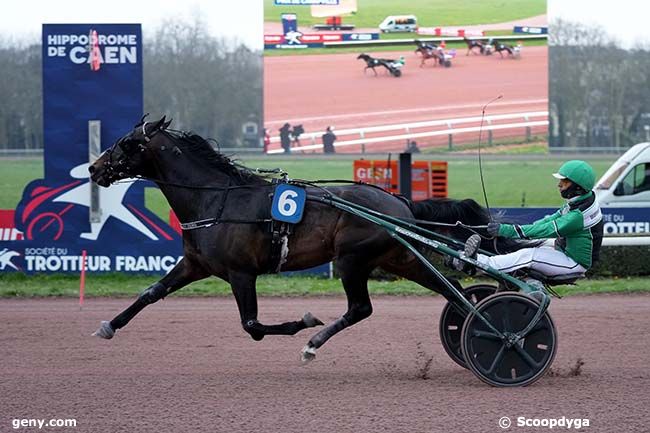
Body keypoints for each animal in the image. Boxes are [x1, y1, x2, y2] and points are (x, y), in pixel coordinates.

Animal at [88, 116, 520, 362]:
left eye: (127, 143)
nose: (94, 168)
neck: (216, 198)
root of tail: (399, 202)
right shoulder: (196, 264)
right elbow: (151, 293)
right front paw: (108, 325)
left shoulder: (240, 272)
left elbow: (252, 325)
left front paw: (303, 321)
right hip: (401, 258)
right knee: (452, 292)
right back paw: (481, 327)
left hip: (351, 259)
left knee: (361, 308)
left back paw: (314, 342)